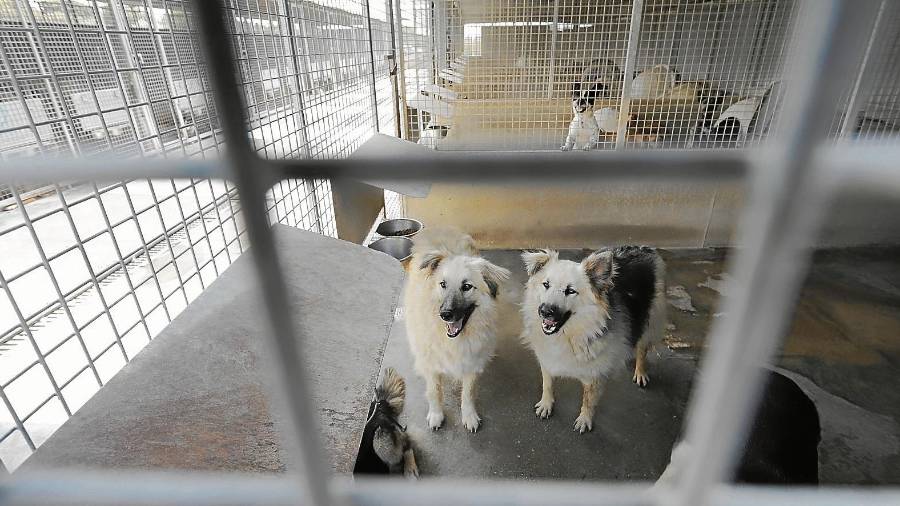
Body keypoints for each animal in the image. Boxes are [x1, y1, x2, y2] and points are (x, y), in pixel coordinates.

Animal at [404, 228, 510, 430]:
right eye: (443, 284)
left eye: (467, 286)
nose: (445, 314)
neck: (453, 341)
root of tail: (439, 228)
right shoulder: (431, 364)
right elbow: (434, 391)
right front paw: (436, 414)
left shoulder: (472, 362)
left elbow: (468, 394)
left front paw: (469, 416)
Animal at [520, 247, 660, 432]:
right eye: (546, 285)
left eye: (570, 291)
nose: (545, 311)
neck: (569, 335)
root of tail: (640, 247)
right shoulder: (547, 358)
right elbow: (547, 384)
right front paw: (546, 404)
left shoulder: (594, 376)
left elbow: (588, 400)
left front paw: (584, 419)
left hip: (650, 322)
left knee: (642, 349)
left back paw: (640, 372)